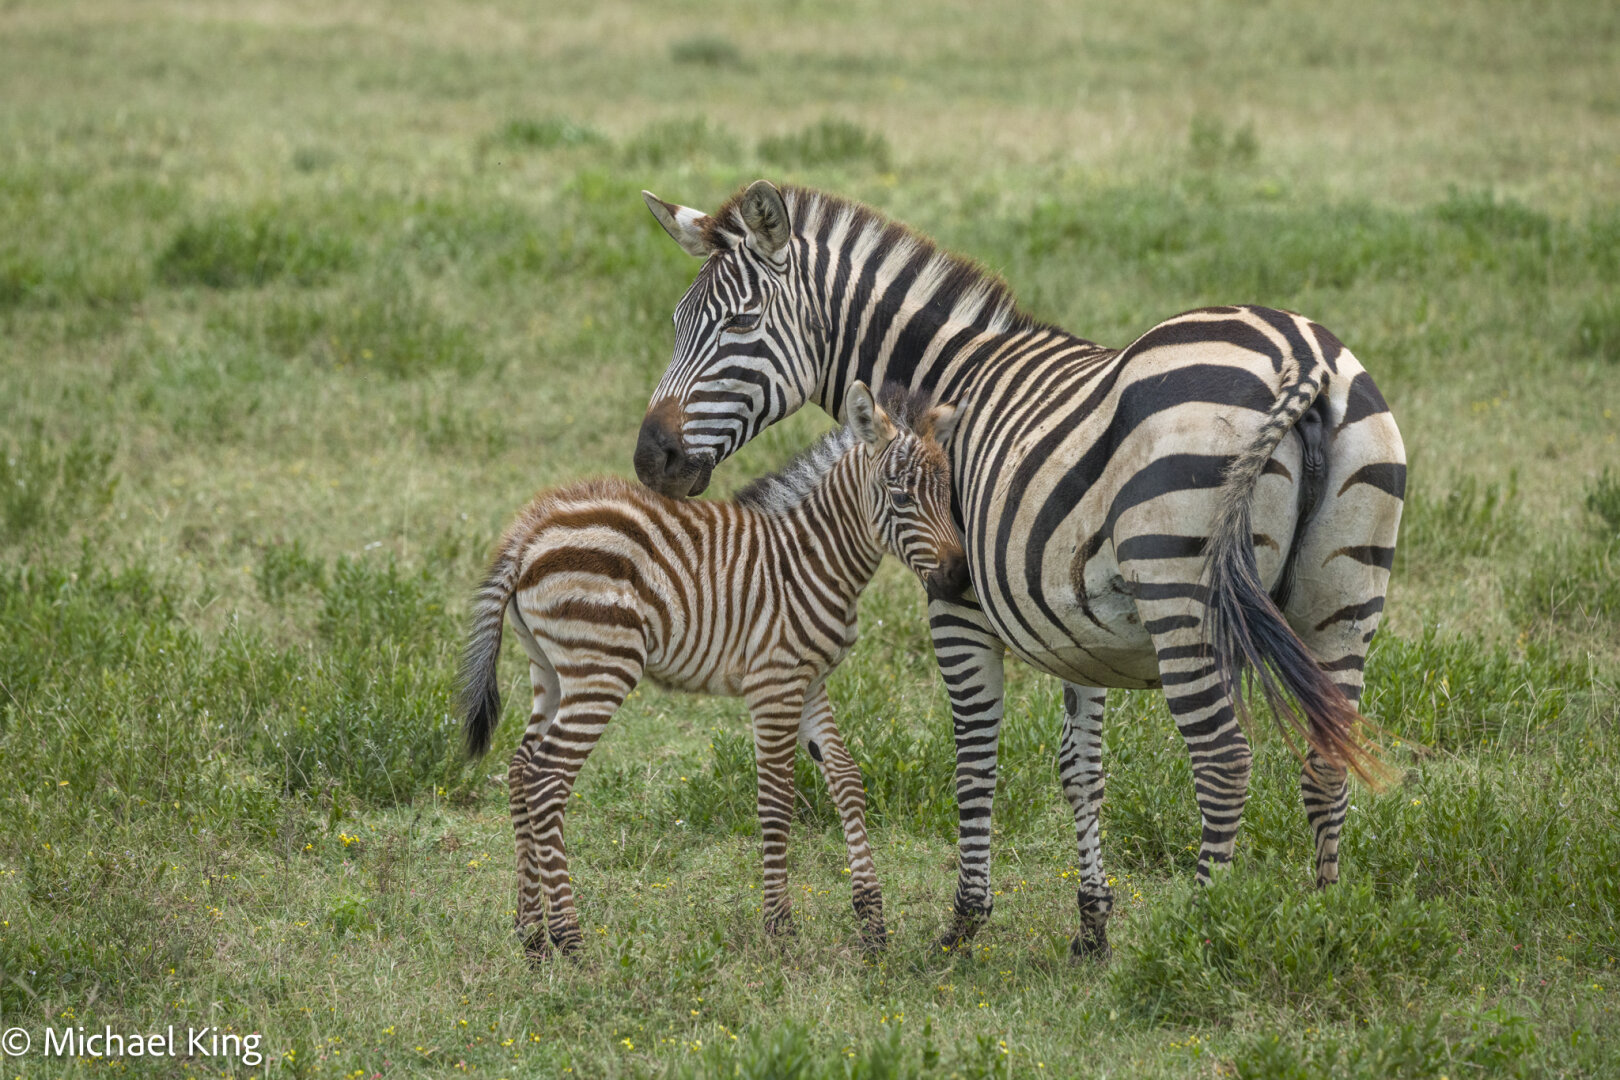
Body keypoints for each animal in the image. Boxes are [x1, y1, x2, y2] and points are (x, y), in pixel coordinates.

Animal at [460, 382, 967, 959]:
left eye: (949, 496)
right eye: (901, 496)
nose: (958, 578)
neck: (813, 556)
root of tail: (529, 532)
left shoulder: (810, 681)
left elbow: (845, 779)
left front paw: (872, 924)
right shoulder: (774, 682)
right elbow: (776, 799)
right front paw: (779, 928)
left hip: (550, 670)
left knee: (521, 772)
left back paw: (531, 935)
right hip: (600, 669)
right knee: (547, 780)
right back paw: (569, 940)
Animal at [634, 180, 1405, 959]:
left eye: (741, 324)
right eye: (675, 324)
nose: (650, 459)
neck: (944, 375)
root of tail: (1300, 355)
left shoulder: (955, 604)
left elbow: (975, 756)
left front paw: (963, 923)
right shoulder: (1077, 625)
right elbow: (1081, 769)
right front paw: (1092, 925)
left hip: (1183, 592)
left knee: (1222, 761)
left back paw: (1198, 930)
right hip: (1342, 601)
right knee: (1328, 756)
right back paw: (1323, 920)